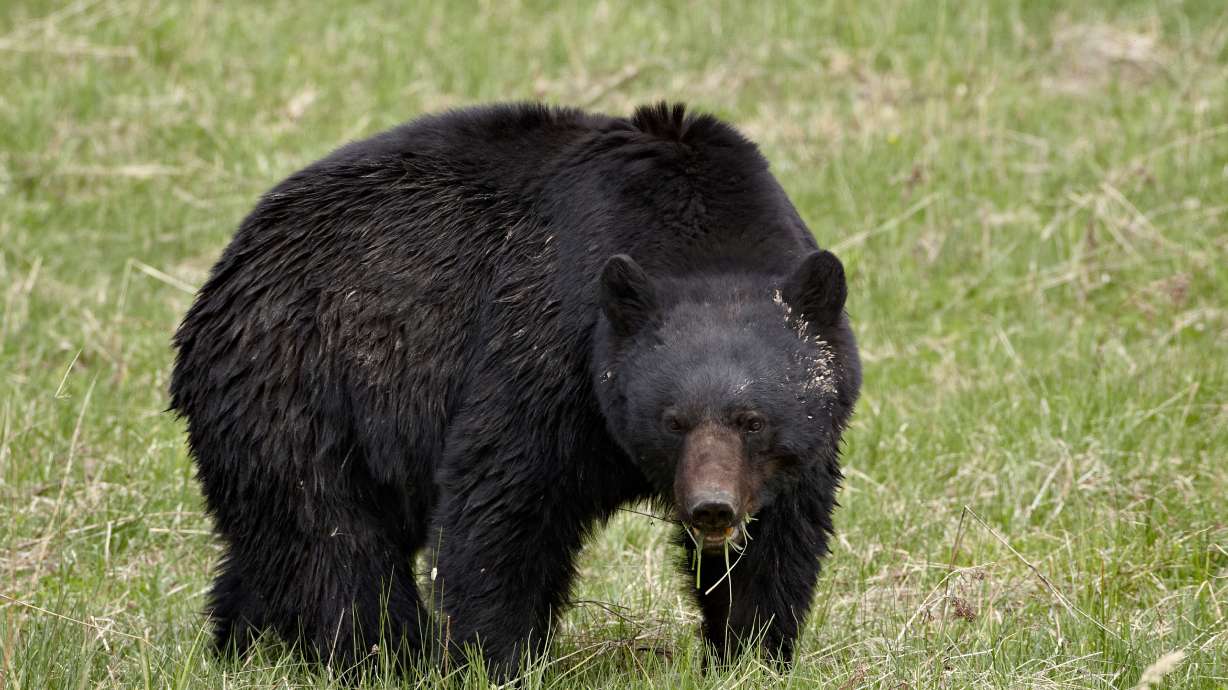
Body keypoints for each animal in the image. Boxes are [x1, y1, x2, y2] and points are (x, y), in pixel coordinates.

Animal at [169, 102, 861, 675]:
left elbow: (779, 541)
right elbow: (503, 503)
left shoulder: (800, 451)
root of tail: (225, 272)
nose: (711, 508)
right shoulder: (548, 347)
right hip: (301, 389)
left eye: (753, 420)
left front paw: (751, 651)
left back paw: (241, 645)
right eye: (672, 420)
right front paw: (492, 658)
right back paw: (380, 655)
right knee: (332, 544)